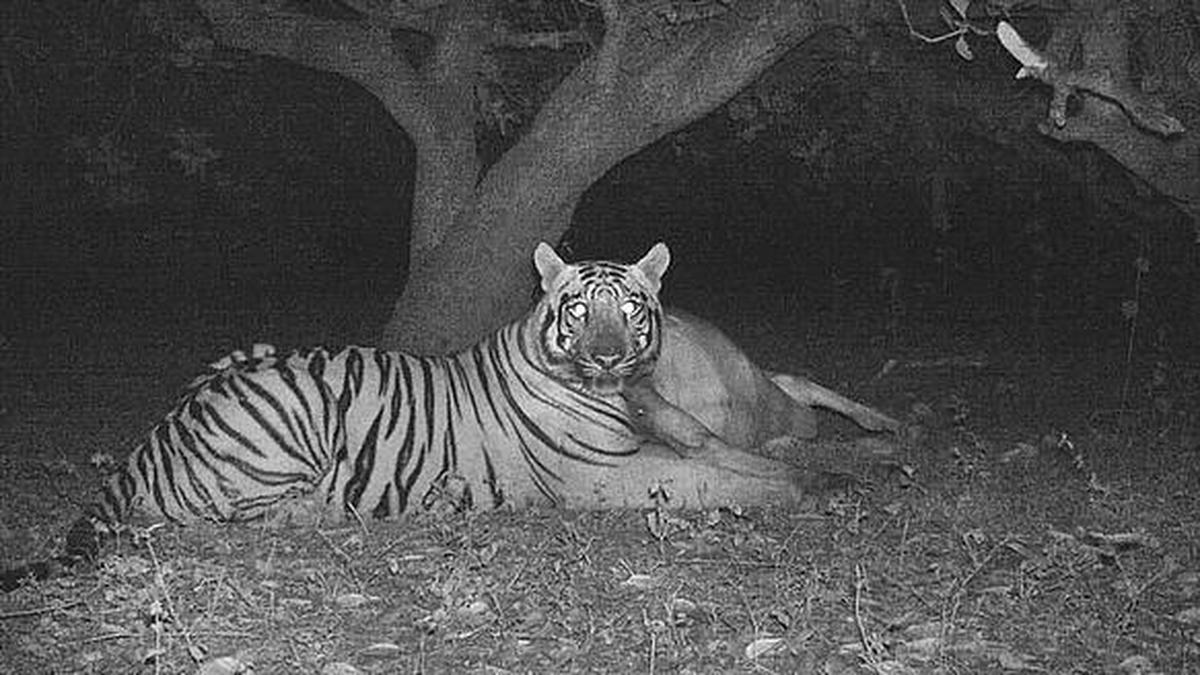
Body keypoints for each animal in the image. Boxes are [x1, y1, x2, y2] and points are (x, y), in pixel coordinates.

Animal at [1, 242, 811, 591]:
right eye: (579, 310)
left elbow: (732, 456)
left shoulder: (668, 432)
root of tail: (155, 435)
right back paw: (329, 510)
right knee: (238, 514)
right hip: (290, 411)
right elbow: (713, 481)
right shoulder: (604, 476)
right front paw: (799, 490)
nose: (609, 356)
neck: (616, 394)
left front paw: (812, 472)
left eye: (632, 309)